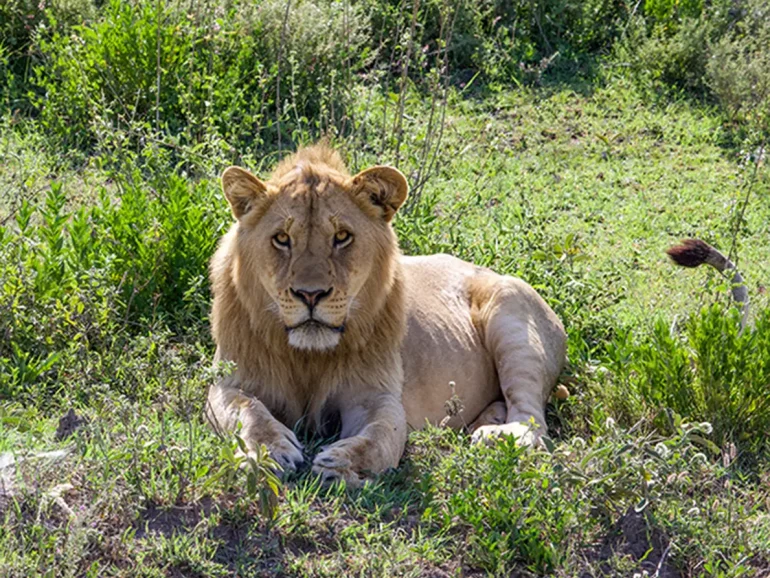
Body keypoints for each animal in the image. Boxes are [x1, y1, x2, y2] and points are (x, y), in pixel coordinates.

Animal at [204, 142, 564, 484]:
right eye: (281, 239)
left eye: (342, 237)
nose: (310, 294)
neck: (309, 359)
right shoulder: (227, 383)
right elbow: (250, 411)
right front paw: (269, 451)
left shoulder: (375, 395)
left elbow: (381, 436)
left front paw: (343, 466)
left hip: (512, 317)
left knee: (534, 422)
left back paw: (495, 435)